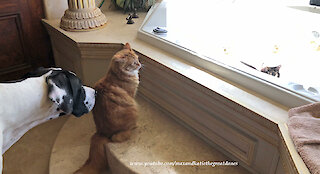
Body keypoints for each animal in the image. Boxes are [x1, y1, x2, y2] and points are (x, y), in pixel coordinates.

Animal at [75, 42, 141, 173]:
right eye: (133, 63)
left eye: (137, 58)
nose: (140, 65)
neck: (117, 75)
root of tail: (102, 133)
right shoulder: (131, 95)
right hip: (133, 110)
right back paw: (135, 125)